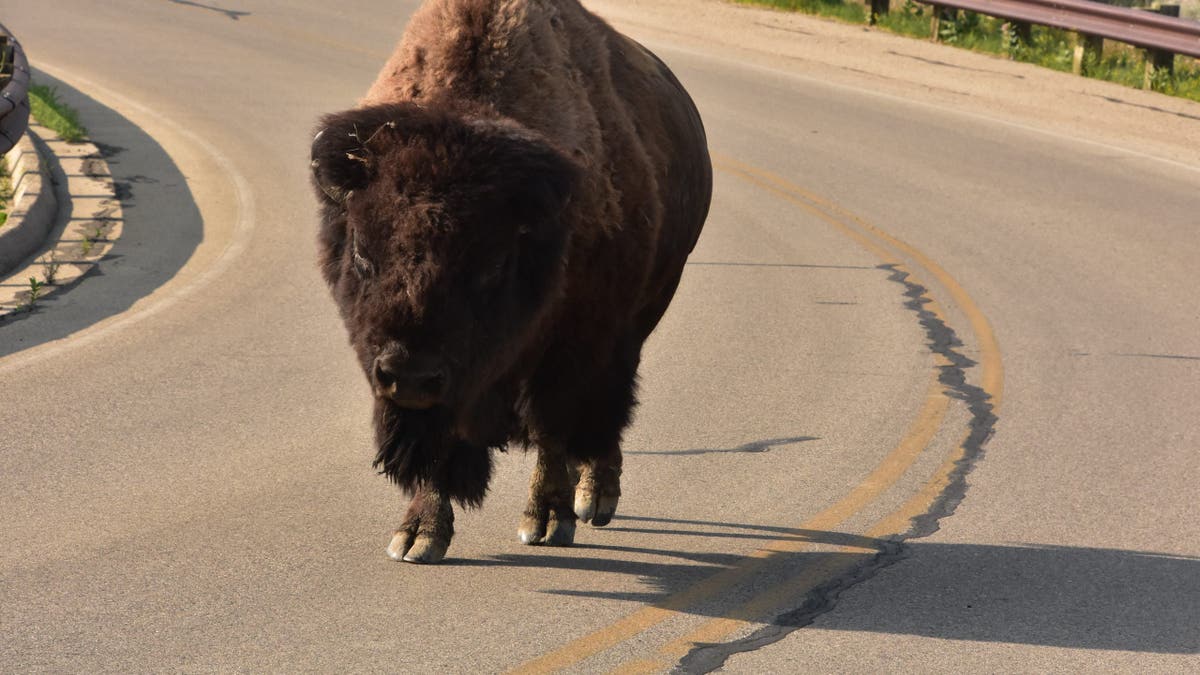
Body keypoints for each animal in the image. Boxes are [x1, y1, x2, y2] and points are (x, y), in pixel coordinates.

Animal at [312, 0, 711, 563]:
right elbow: (444, 438)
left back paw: (595, 497)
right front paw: (418, 534)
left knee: (608, 409)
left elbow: (550, 426)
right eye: (363, 254)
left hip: (642, 314)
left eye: (493, 265)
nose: (409, 375)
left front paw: (545, 521)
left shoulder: (571, 343)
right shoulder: (449, 385)